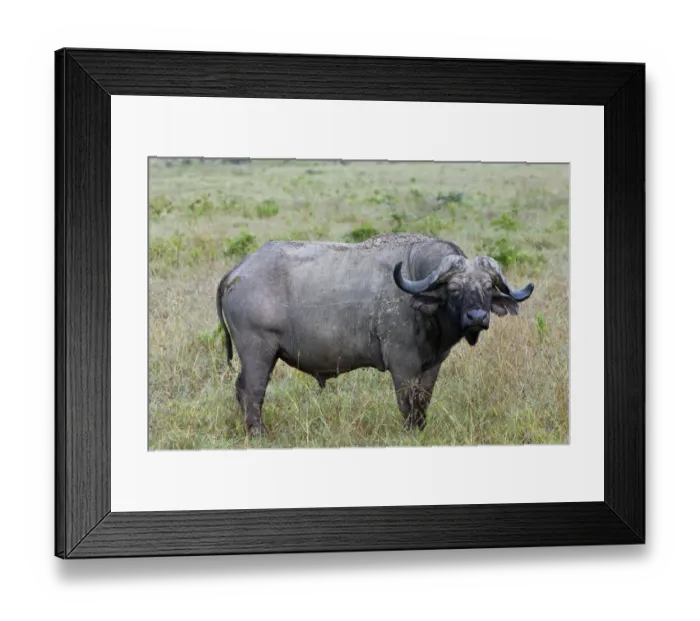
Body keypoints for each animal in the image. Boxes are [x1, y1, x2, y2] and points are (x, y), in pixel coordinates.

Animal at [216, 233, 534, 435]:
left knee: (241, 389)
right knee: (253, 392)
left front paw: (421, 429)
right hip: (258, 353)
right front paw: (410, 432)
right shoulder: (402, 363)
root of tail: (238, 270)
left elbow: (423, 400)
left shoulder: (433, 364)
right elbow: (407, 401)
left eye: (488, 288)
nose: (477, 317)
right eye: (455, 289)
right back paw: (258, 433)